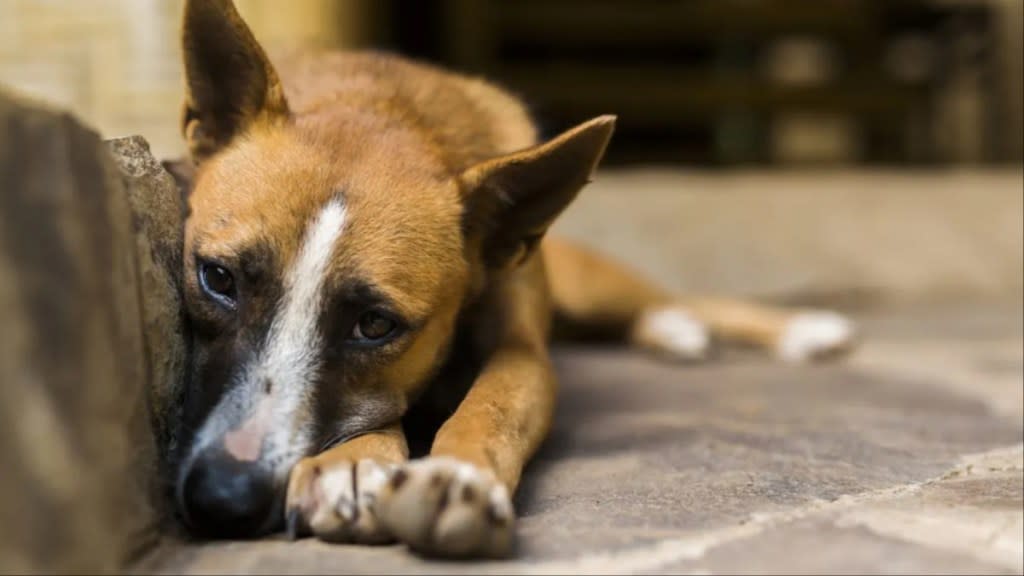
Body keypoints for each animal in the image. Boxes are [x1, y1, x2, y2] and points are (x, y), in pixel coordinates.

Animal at [176, 0, 856, 557]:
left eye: (375, 325)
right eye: (218, 278)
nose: (223, 496)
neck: (389, 110)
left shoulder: (524, 355)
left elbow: (491, 407)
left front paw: (456, 478)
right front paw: (355, 463)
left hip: (591, 285)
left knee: (681, 296)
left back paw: (784, 329)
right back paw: (673, 331)